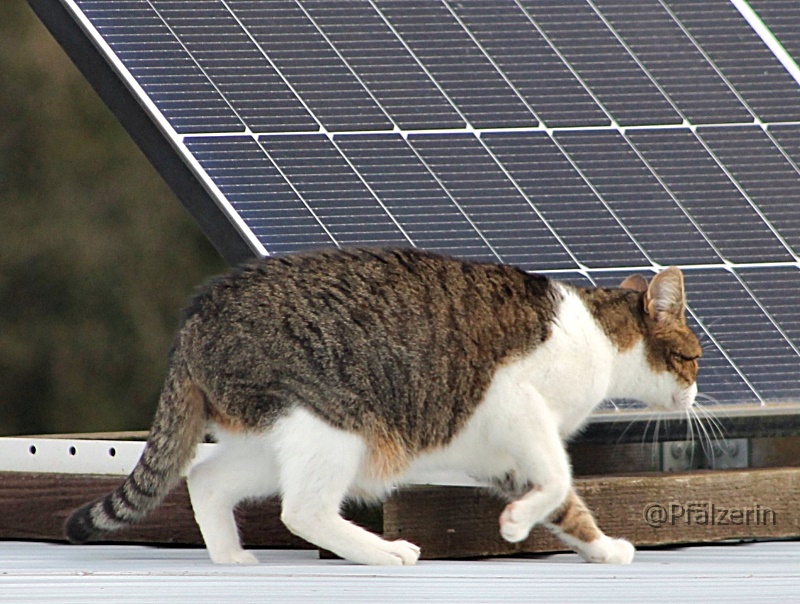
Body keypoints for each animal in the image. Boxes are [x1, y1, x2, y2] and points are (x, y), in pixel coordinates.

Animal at [64, 247, 700, 568]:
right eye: (692, 357)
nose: (697, 393)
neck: (598, 336)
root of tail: (194, 320)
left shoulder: (499, 452)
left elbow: (567, 505)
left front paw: (603, 548)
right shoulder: (519, 409)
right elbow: (559, 481)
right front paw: (517, 524)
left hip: (280, 438)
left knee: (206, 478)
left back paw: (232, 558)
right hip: (336, 423)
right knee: (304, 512)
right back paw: (387, 552)